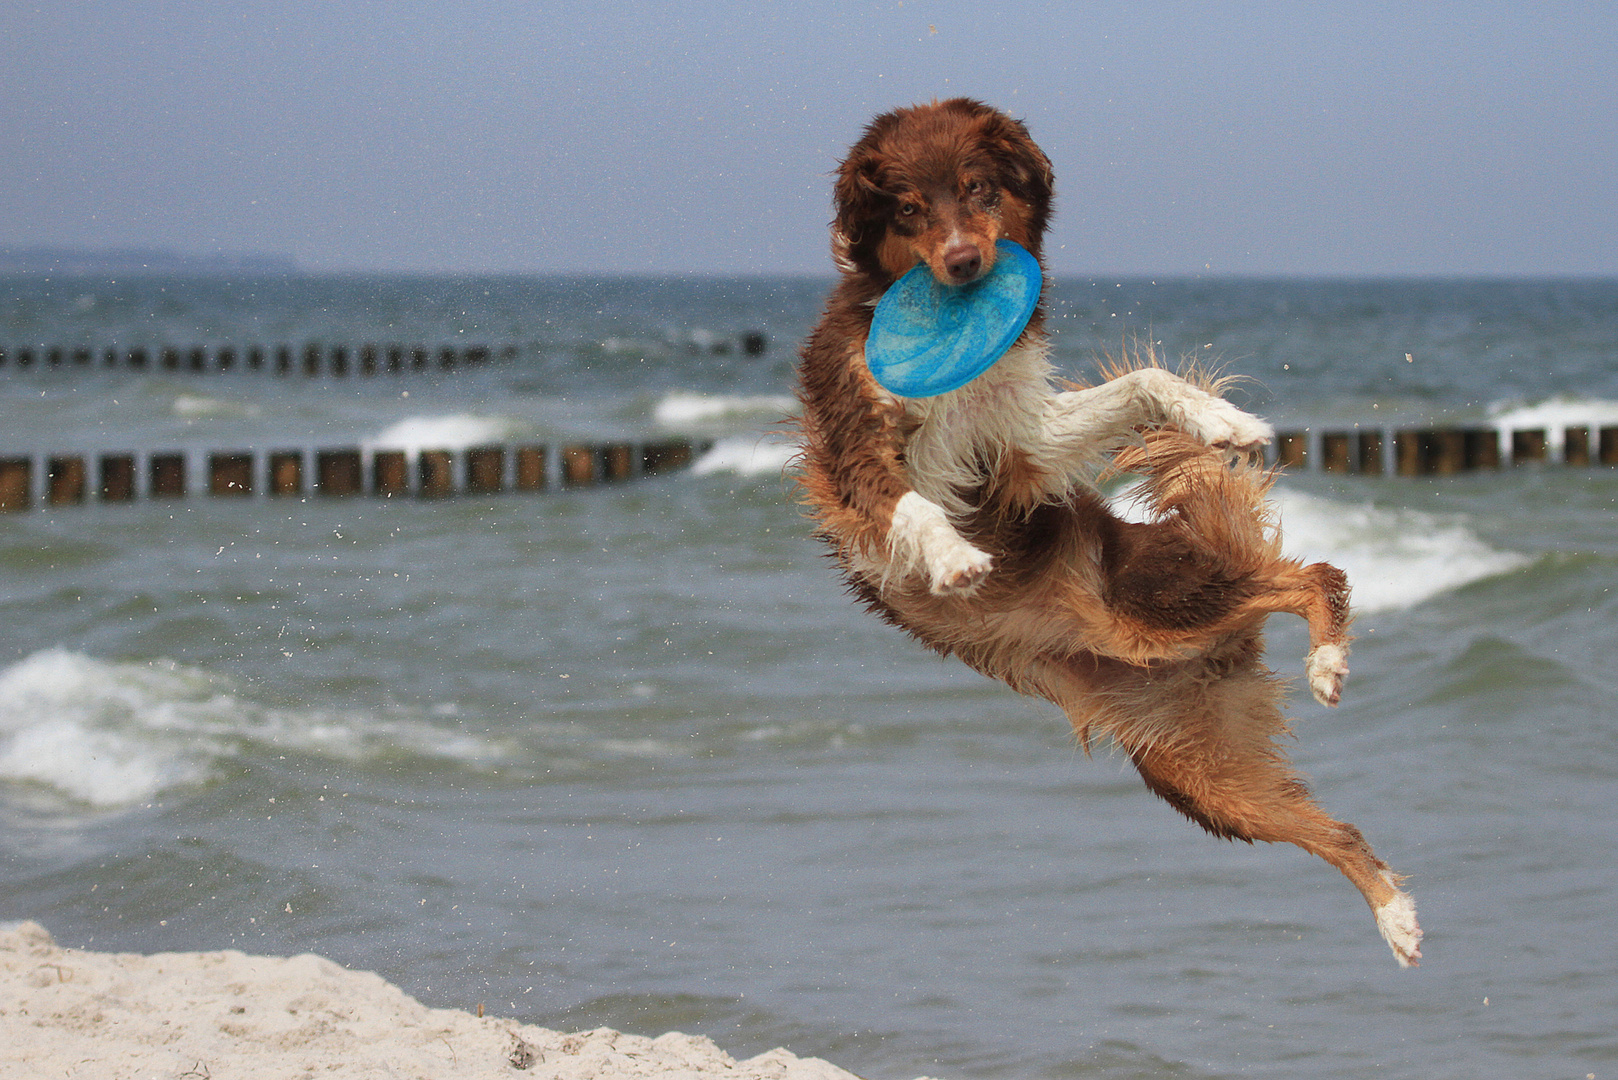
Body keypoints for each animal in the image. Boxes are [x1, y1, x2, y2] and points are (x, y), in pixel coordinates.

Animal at [792, 97, 1417, 965]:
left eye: (978, 188)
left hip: (1162, 606)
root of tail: (1207, 655)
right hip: (1202, 777)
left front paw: (1217, 418)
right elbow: (912, 505)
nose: (963, 264)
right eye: (909, 209)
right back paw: (1398, 917)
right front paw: (952, 555)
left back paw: (1328, 665)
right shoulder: (861, 443)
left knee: (1316, 577)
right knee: (1341, 827)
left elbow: (1140, 384)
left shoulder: (1018, 441)